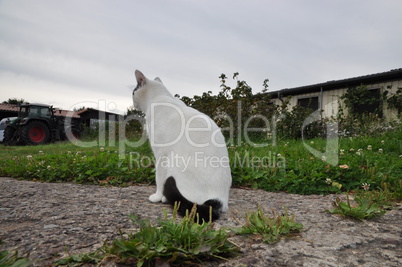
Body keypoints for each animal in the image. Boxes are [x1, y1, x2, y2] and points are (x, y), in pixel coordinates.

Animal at [133, 69, 232, 222]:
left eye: (133, 92)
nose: (132, 102)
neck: (159, 98)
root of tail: (219, 200)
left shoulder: (161, 155)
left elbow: (159, 178)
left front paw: (157, 196)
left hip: (175, 164)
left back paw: (165, 198)